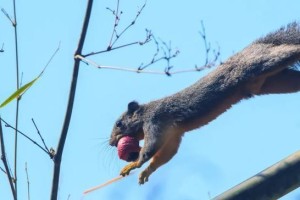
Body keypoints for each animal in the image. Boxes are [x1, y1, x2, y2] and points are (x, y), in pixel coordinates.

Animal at [109, 21, 300, 184]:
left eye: (119, 123)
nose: (111, 142)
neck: (145, 114)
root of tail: (255, 46)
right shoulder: (173, 135)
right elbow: (166, 154)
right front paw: (146, 172)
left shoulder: (155, 121)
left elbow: (151, 147)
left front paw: (134, 165)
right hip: (275, 82)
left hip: (260, 63)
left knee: (287, 52)